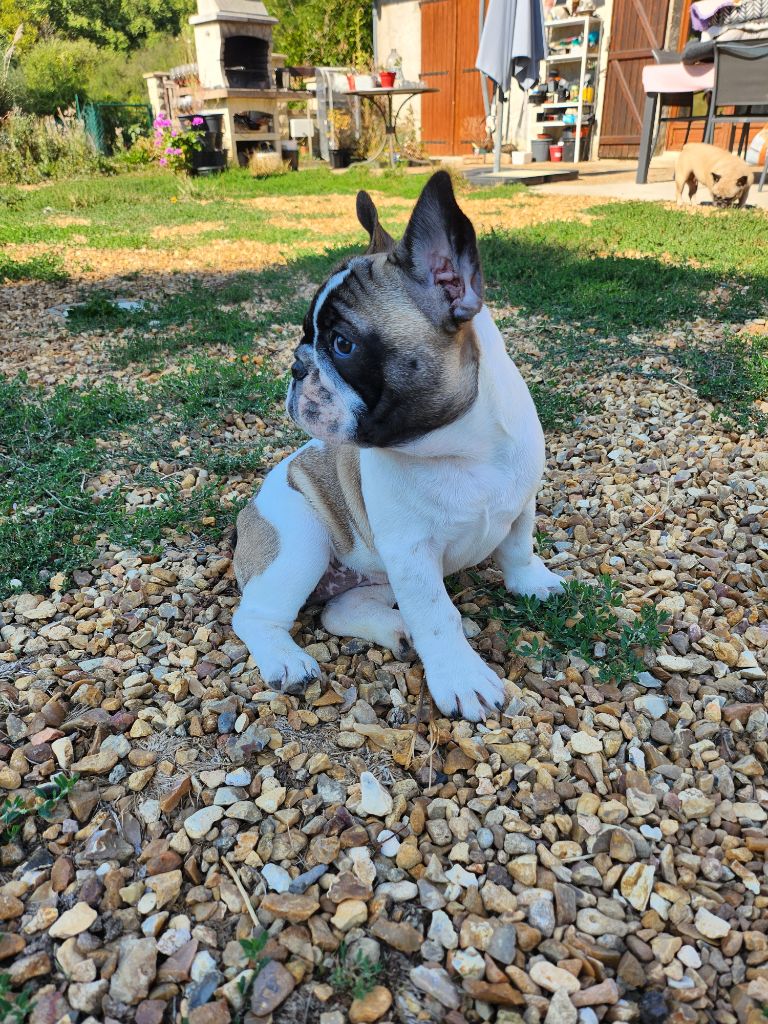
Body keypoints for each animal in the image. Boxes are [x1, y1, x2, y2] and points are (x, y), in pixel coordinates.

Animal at [231, 174, 561, 720]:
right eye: (307, 335)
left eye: (342, 345)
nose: (297, 365)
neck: (462, 449)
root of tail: (247, 514)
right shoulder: (412, 555)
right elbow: (438, 616)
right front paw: (462, 678)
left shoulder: (521, 503)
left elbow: (518, 548)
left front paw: (531, 582)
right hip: (300, 540)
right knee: (254, 617)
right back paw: (287, 661)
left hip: (376, 575)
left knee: (338, 611)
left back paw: (394, 630)